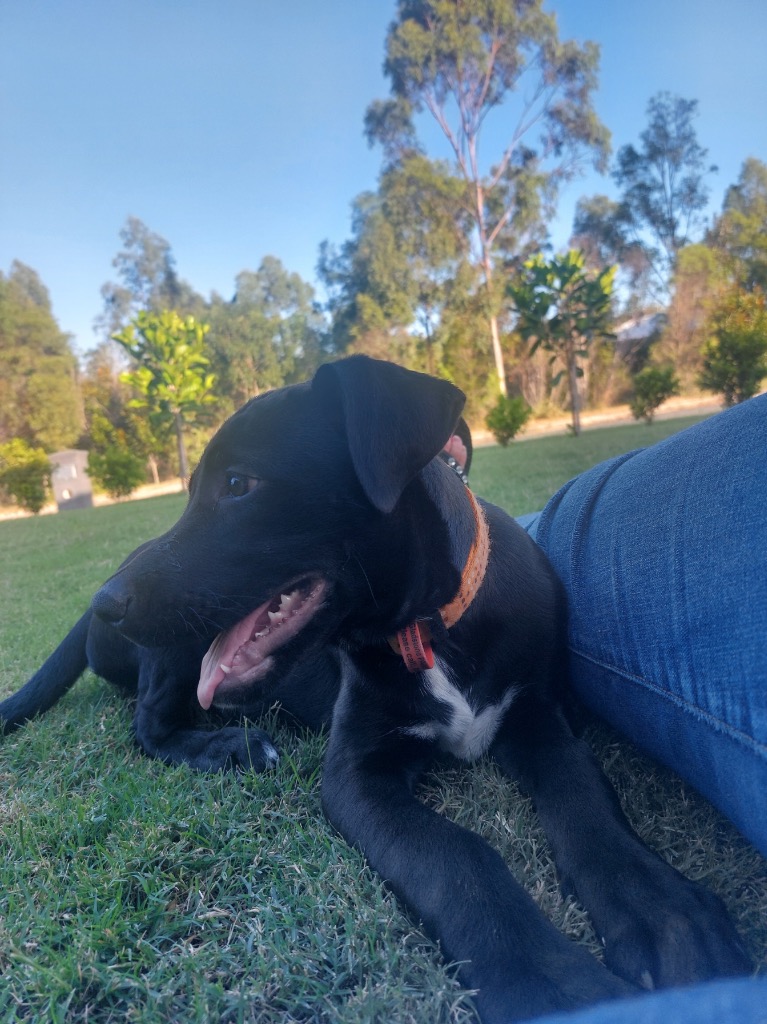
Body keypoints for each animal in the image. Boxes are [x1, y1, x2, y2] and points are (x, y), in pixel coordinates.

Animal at [0, 356, 751, 1022]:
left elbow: (584, 795)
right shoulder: (355, 775)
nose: (105, 602)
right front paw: (549, 979)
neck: (429, 629)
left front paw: (662, 911)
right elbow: (455, 855)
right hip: (175, 653)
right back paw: (227, 749)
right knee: (148, 728)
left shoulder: (536, 711)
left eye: (240, 483)